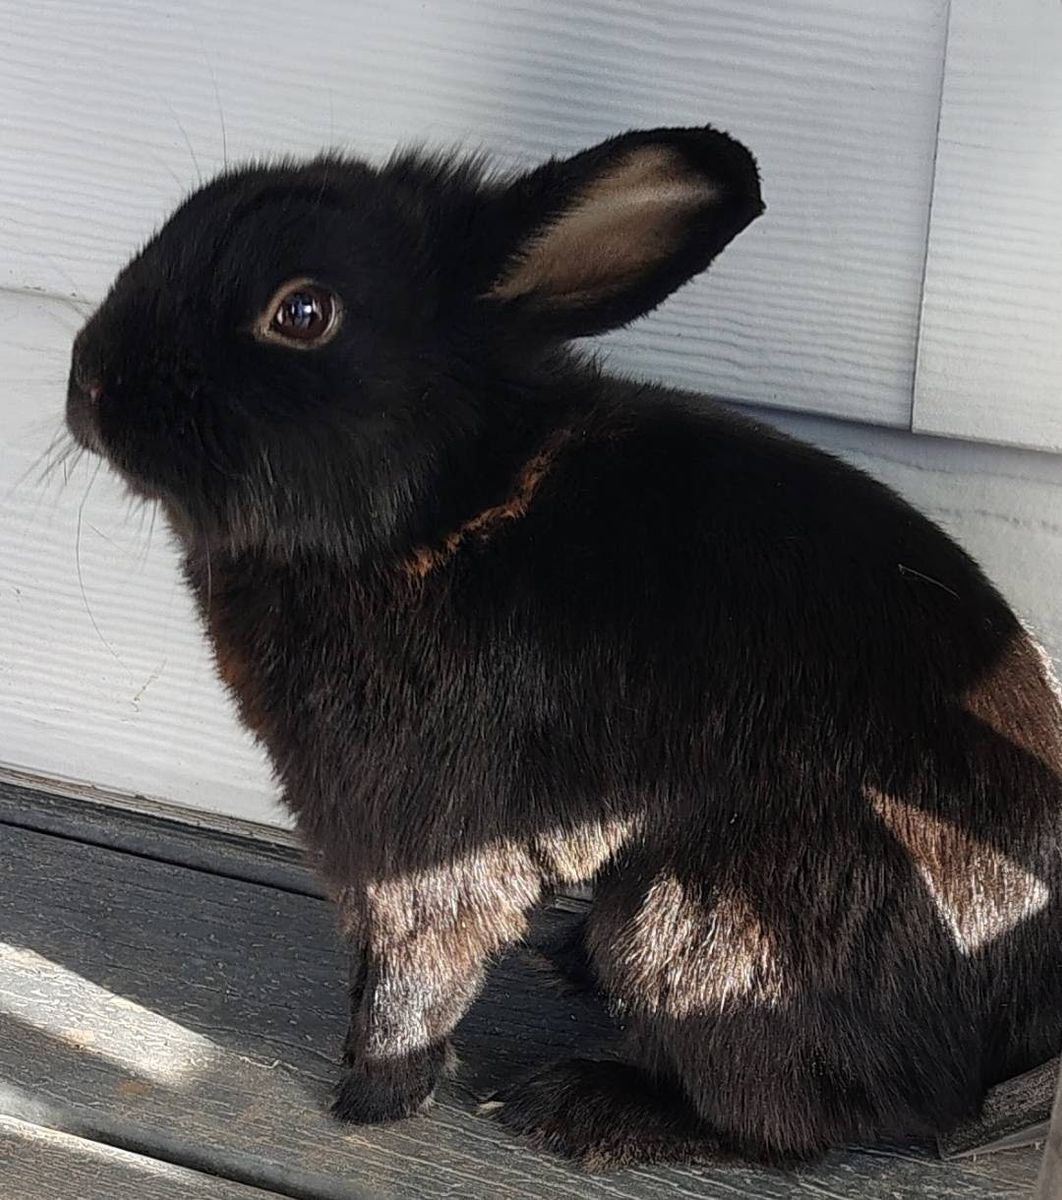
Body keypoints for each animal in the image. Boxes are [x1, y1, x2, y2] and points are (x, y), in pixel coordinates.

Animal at [65, 124, 1062, 1169]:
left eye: (302, 313)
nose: (88, 382)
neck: (430, 517)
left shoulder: (421, 837)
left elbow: (417, 966)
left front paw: (373, 1095)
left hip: (705, 933)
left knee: (804, 1115)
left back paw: (584, 1102)